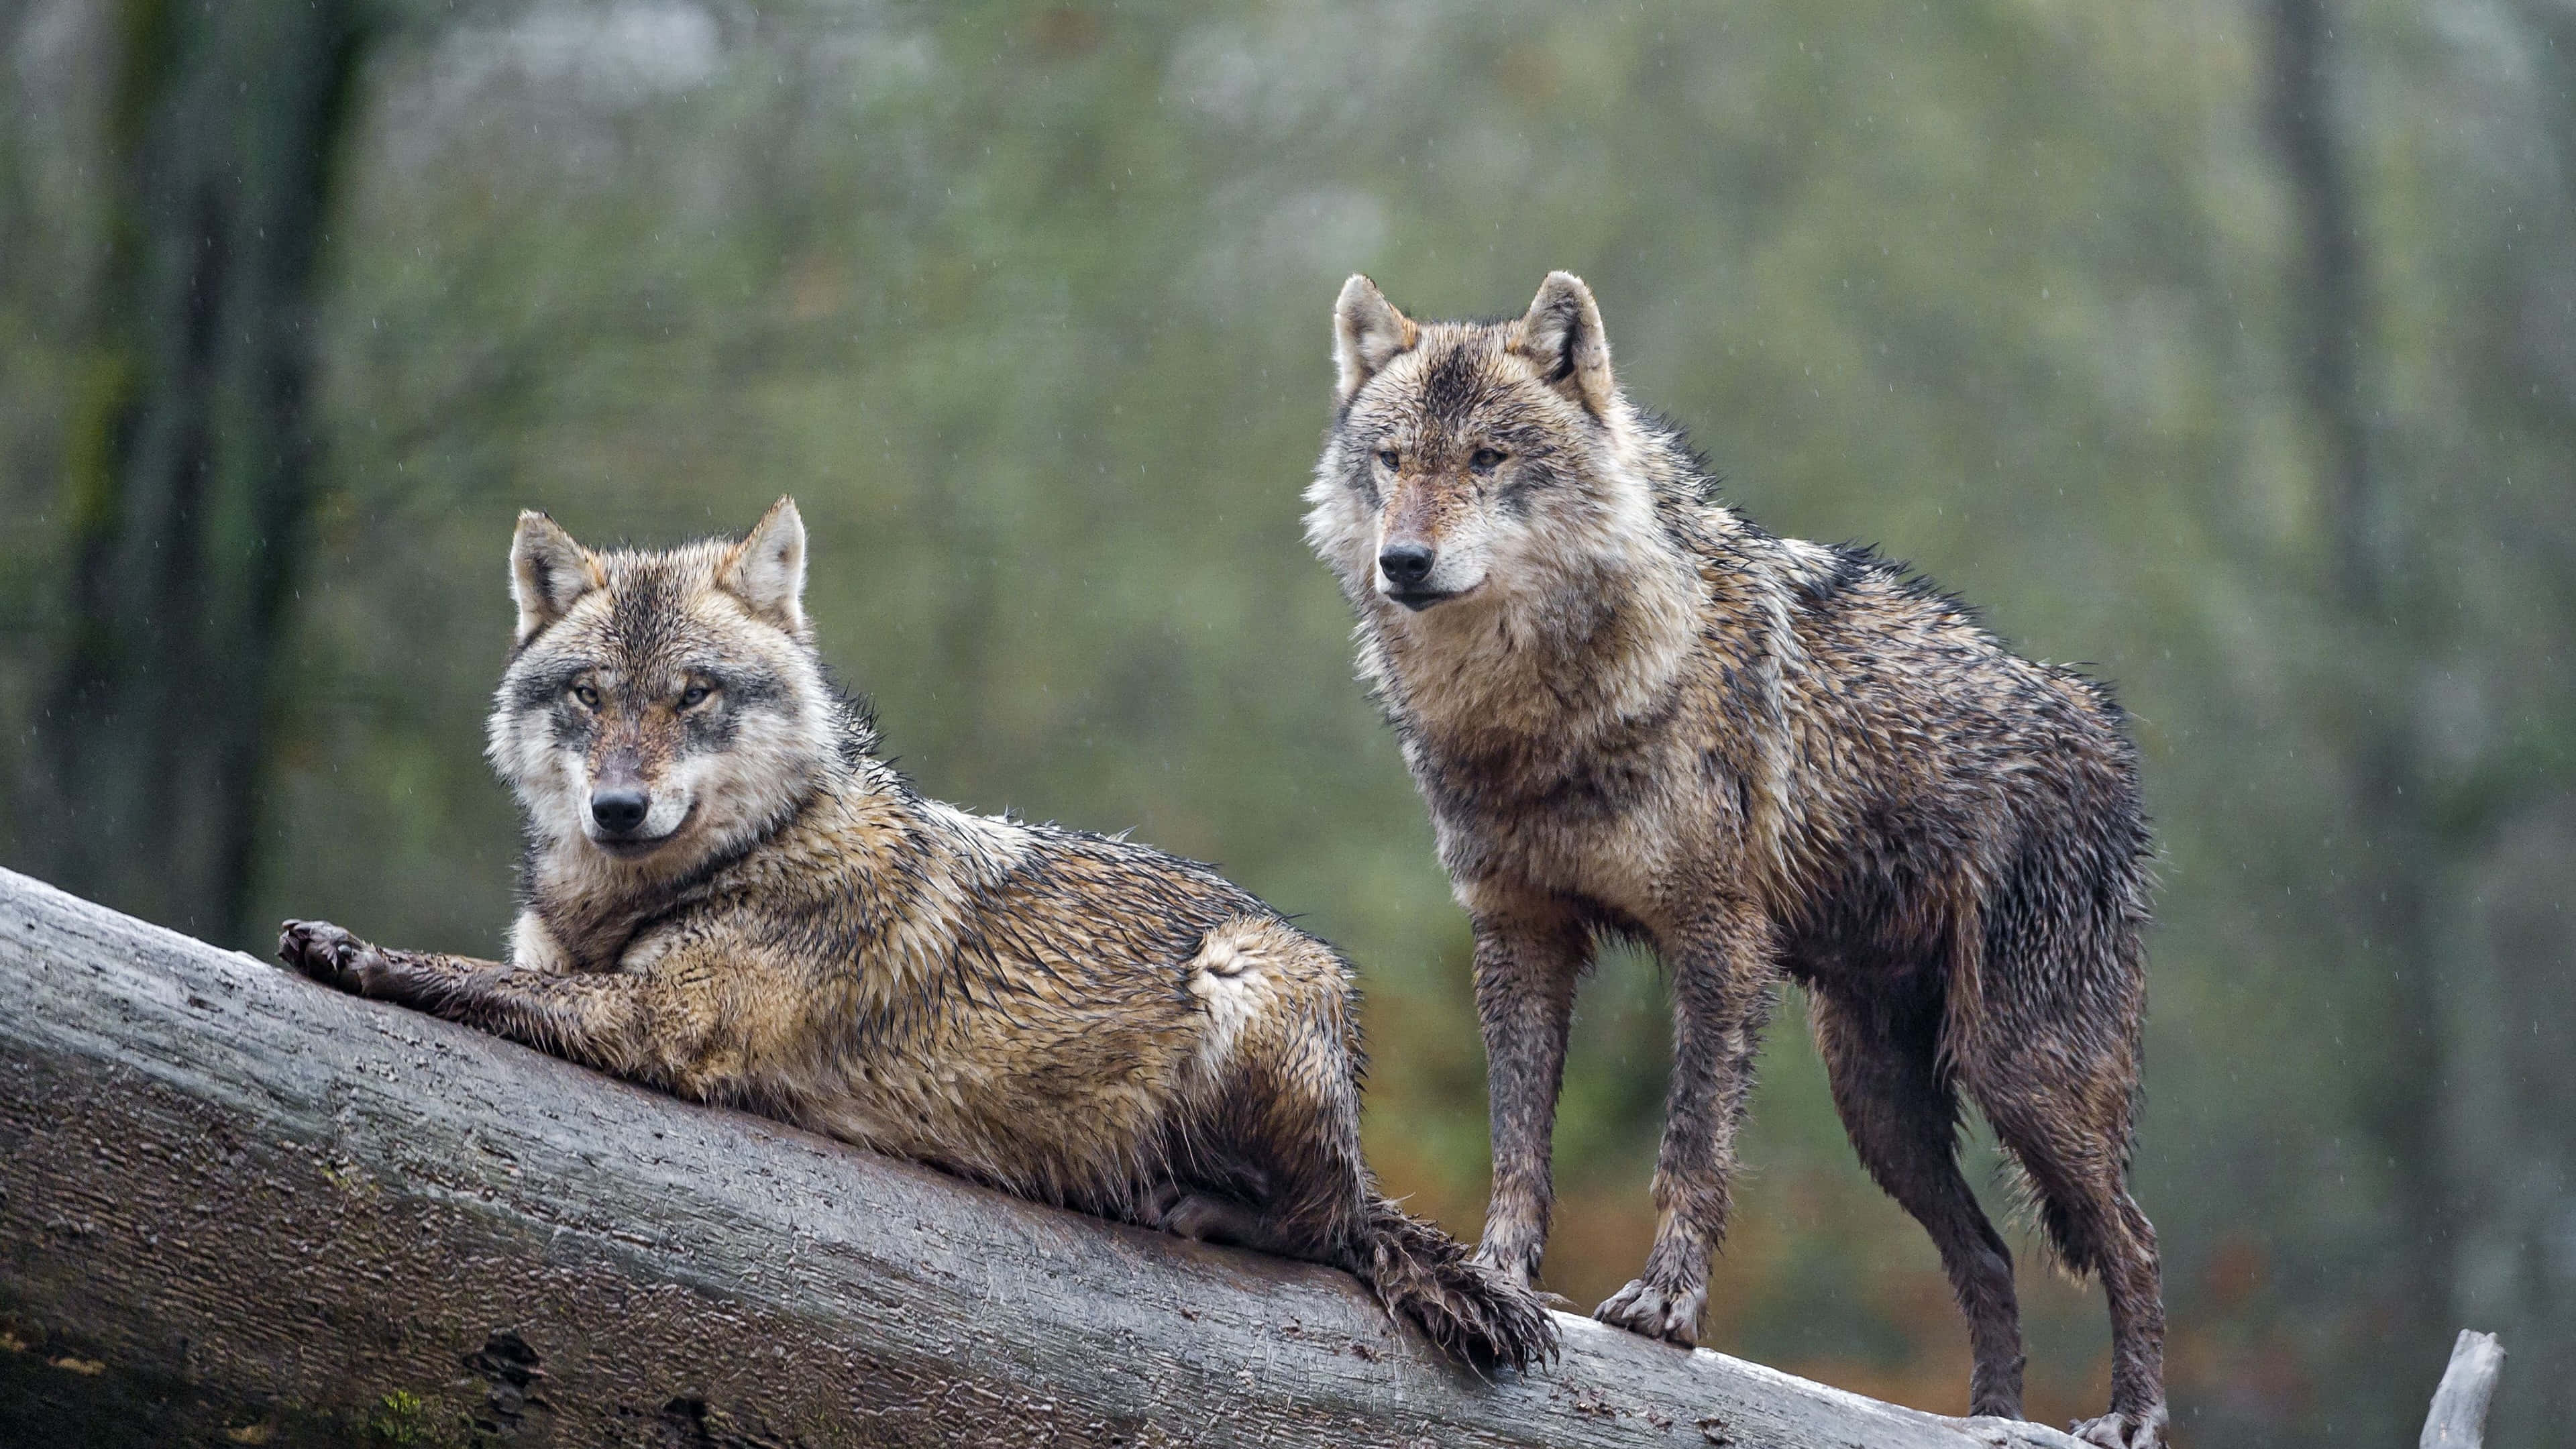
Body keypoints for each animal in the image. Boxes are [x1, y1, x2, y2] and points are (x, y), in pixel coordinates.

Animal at [275, 498, 1555, 1370]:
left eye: (695, 694)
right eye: (591, 695)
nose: (618, 809)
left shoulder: (663, 1022)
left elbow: (458, 974)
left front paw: (351, 951)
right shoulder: (575, 965)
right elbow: (499, 970)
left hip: (1245, 981)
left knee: (1325, 1225)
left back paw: (1197, 1206)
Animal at [1304, 273, 2167, 1446]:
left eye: (1486, 458)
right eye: (1394, 459)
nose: (1403, 562)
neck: (1538, 712)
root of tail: (2099, 725)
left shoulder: (1717, 941)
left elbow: (1692, 1152)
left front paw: (1668, 1308)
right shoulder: (1519, 934)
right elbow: (1517, 1146)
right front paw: (1499, 1280)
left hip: (2021, 1073)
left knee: (2135, 1240)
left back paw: (2132, 1419)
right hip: (1878, 1106)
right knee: (1989, 1257)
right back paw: (1986, 1421)